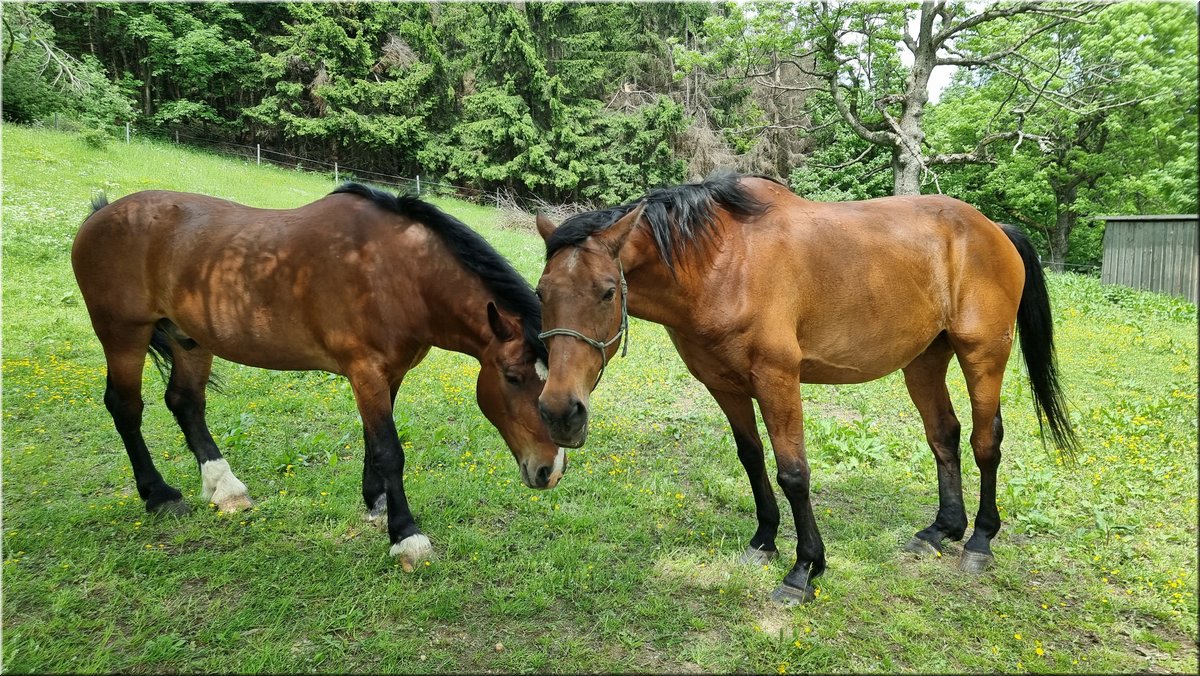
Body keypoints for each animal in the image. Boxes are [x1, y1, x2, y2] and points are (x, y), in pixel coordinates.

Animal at [72, 182, 564, 569]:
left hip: (189, 340)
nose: (550, 471)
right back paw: (158, 495)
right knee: (126, 408)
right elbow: (390, 450)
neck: (395, 271)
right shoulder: (365, 370)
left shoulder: (390, 373)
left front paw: (376, 502)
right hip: (124, 334)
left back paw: (224, 489)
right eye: (513, 377)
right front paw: (406, 535)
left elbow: (373, 442)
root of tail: (102, 214)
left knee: (186, 402)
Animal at [535, 171, 1080, 605]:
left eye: (608, 291)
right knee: (943, 436)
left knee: (986, 442)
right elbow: (752, 459)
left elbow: (793, 473)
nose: (561, 412)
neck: (723, 263)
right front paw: (763, 540)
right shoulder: (724, 385)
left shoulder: (777, 380)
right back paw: (940, 531)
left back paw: (979, 542)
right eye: (541, 293)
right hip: (924, 362)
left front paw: (804, 570)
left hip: (982, 356)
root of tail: (994, 229)